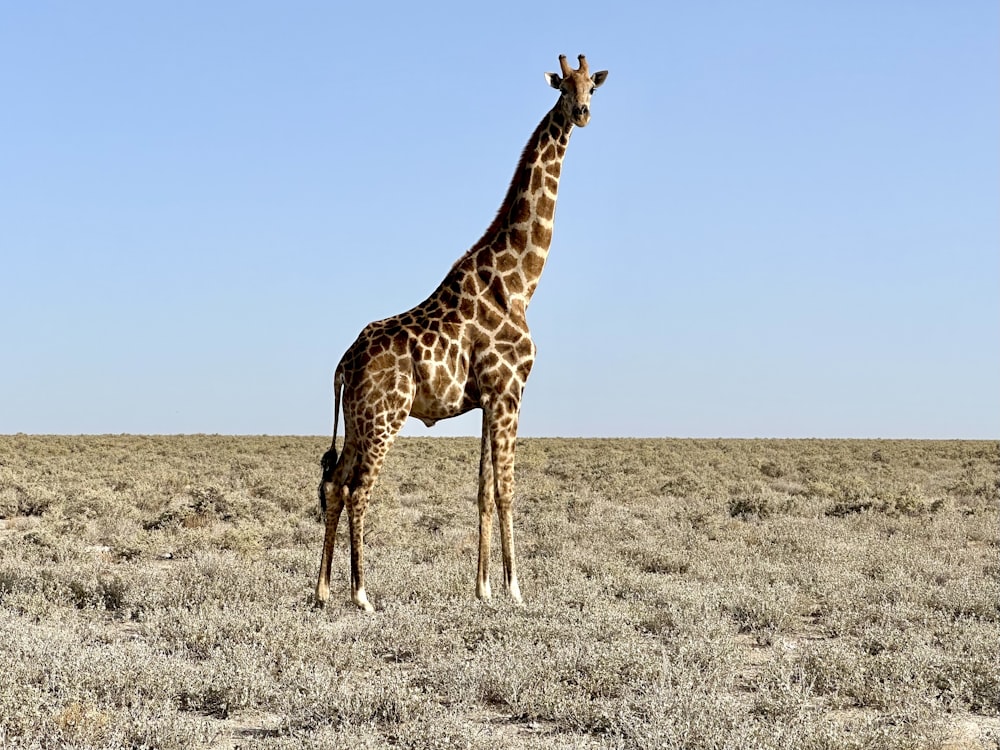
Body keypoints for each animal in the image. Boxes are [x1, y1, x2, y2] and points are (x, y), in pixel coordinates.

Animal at [316, 55, 604, 612]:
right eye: (563, 87)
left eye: (592, 88)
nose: (581, 113)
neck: (519, 283)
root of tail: (342, 364)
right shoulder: (510, 390)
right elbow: (507, 489)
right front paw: (515, 589)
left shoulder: (489, 398)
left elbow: (483, 492)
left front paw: (483, 588)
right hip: (384, 419)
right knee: (358, 490)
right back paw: (362, 595)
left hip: (359, 423)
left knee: (335, 485)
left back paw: (320, 591)